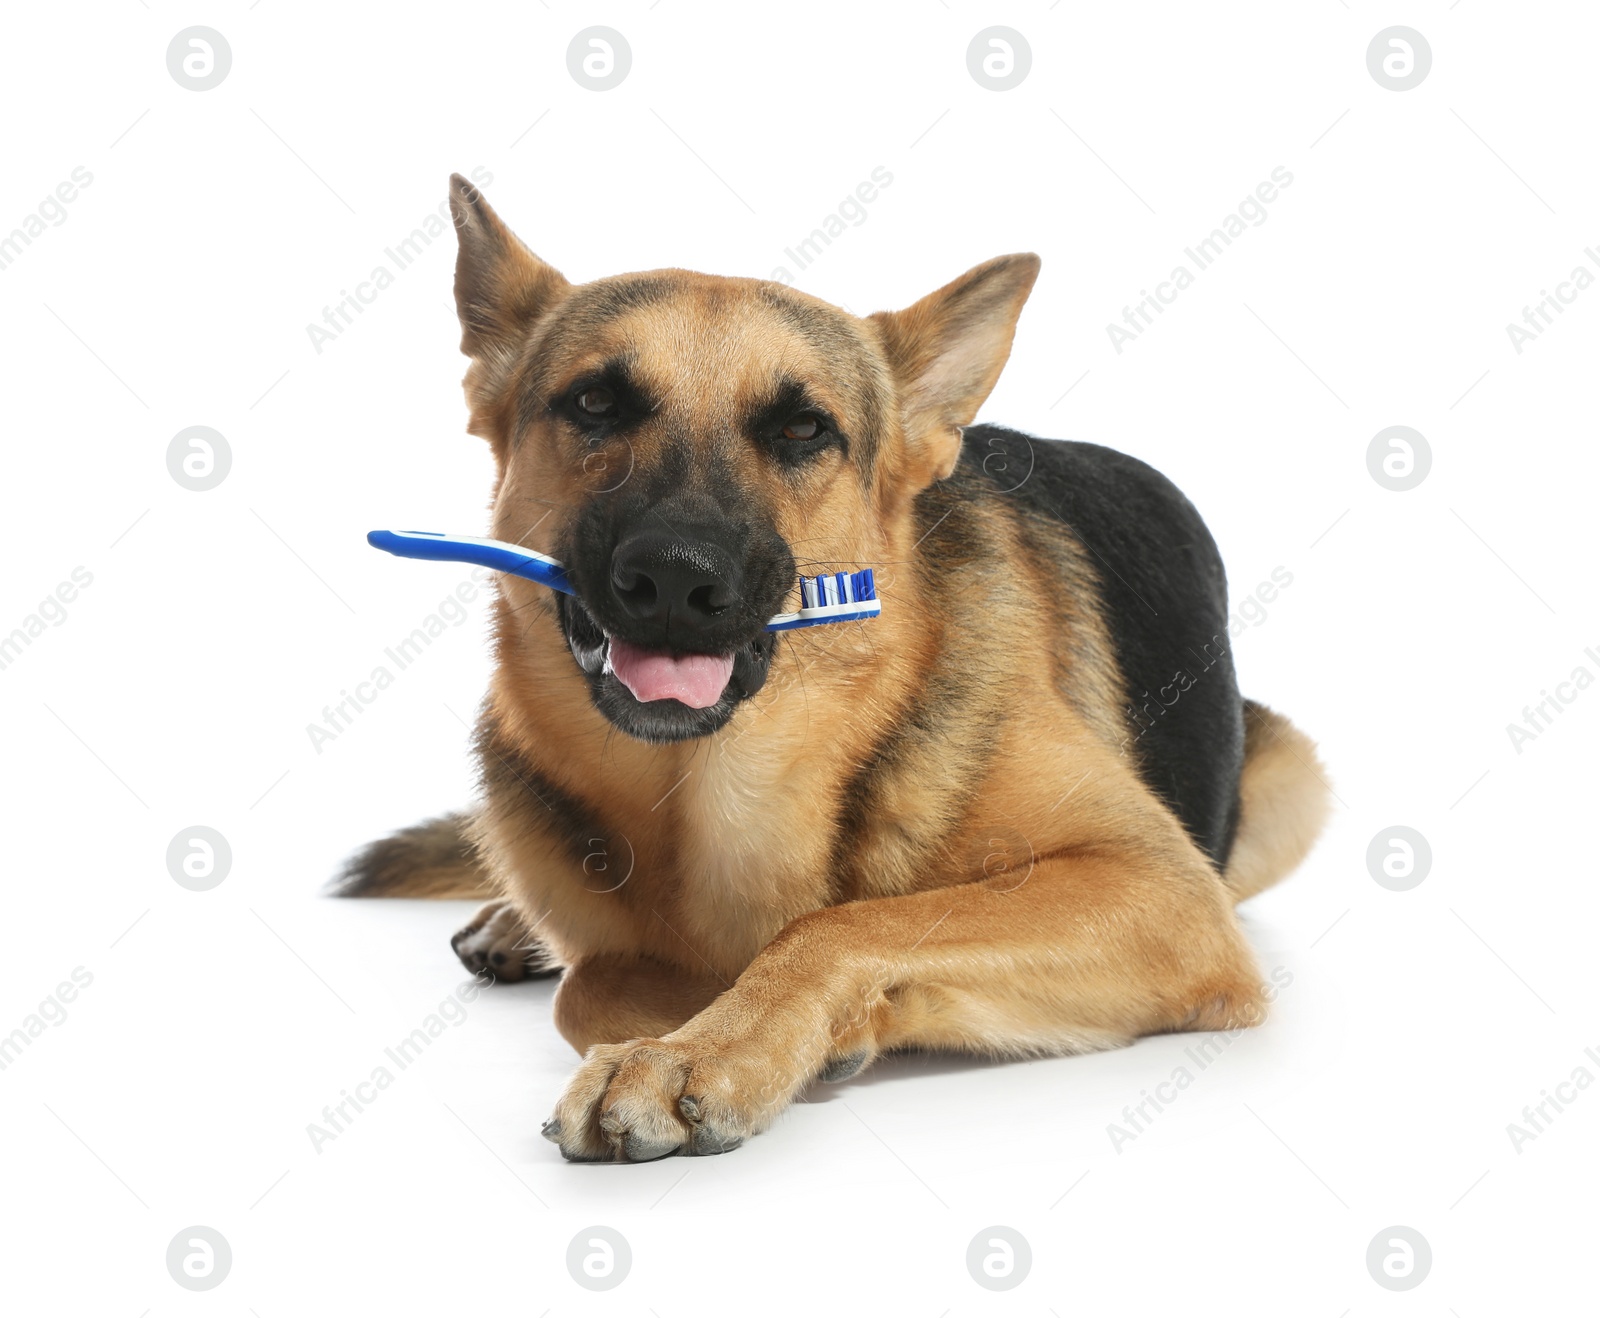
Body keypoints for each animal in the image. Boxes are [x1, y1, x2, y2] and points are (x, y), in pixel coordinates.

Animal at [334, 175, 1324, 1164]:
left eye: (805, 429)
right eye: (594, 404)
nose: (675, 578)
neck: (711, 788)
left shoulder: (1159, 888)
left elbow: (834, 926)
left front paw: (723, 1044)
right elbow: (598, 980)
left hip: (1292, 785)